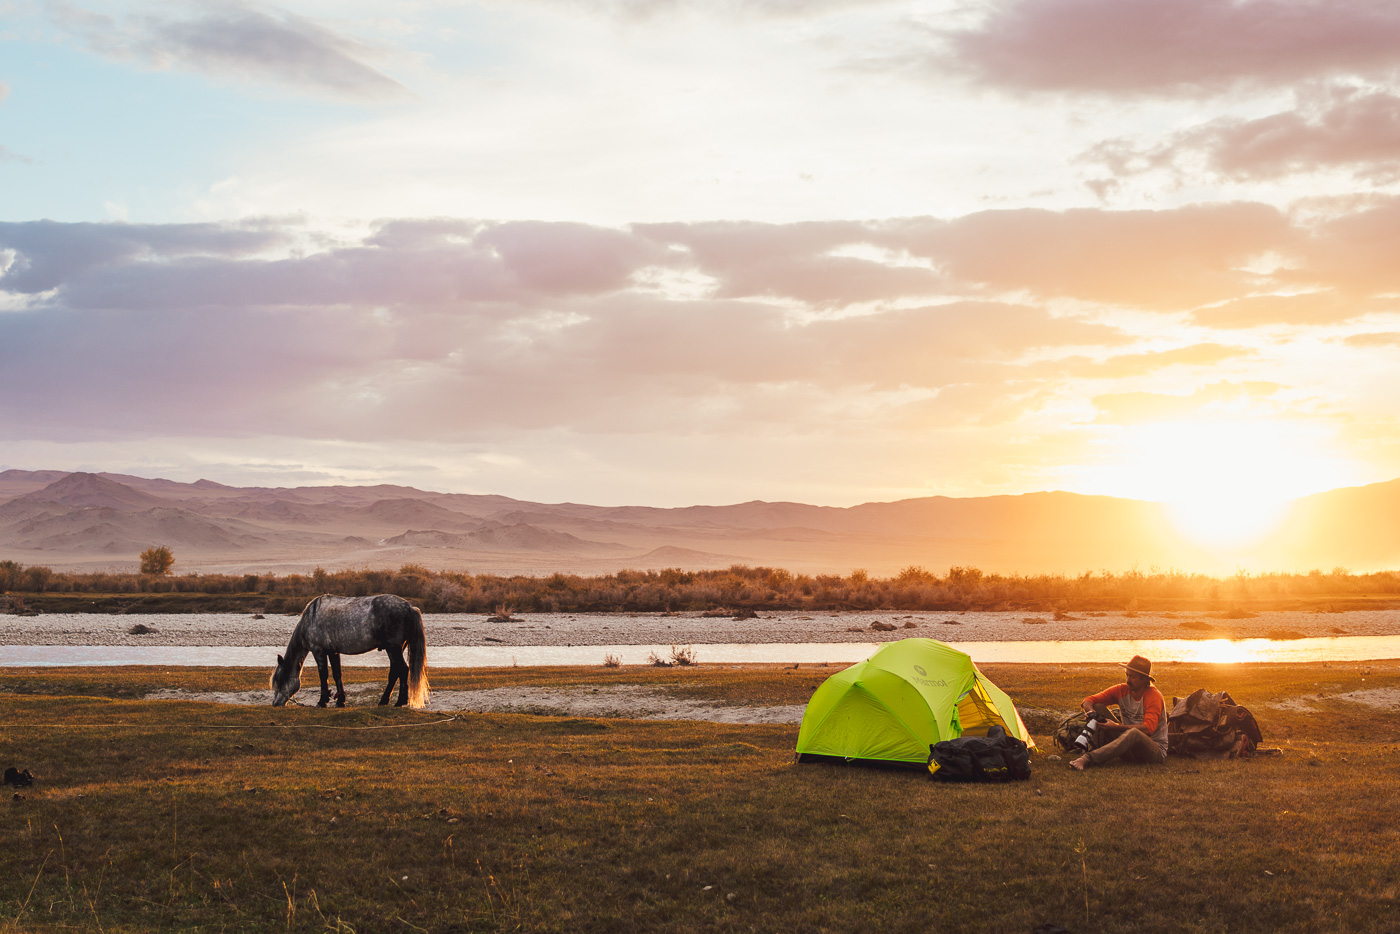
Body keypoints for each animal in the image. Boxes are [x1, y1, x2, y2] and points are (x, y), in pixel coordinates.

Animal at [270, 599, 428, 708]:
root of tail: (409, 607)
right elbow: (337, 674)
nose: (275, 703)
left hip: (393, 648)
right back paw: (384, 701)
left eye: (279, 679)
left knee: (403, 670)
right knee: (395, 671)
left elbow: (323, 675)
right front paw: (340, 701)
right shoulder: (333, 652)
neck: (311, 618)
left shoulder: (319, 651)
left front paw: (322, 702)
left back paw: (400, 701)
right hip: (395, 649)